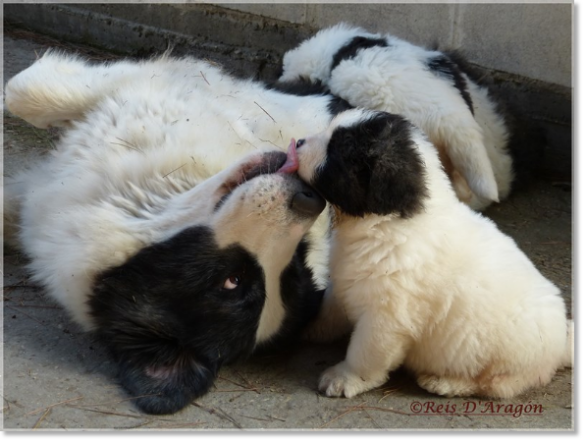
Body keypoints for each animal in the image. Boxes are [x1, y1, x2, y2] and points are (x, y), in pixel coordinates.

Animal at [288, 108, 572, 400]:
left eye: (335, 151)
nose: (298, 143)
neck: (385, 222)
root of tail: (562, 341)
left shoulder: (386, 316)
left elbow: (365, 352)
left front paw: (345, 378)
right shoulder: (344, 281)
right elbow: (329, 310)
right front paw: (308, 326)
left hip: (505, 362)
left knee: (493, 384)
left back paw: (442, 382)